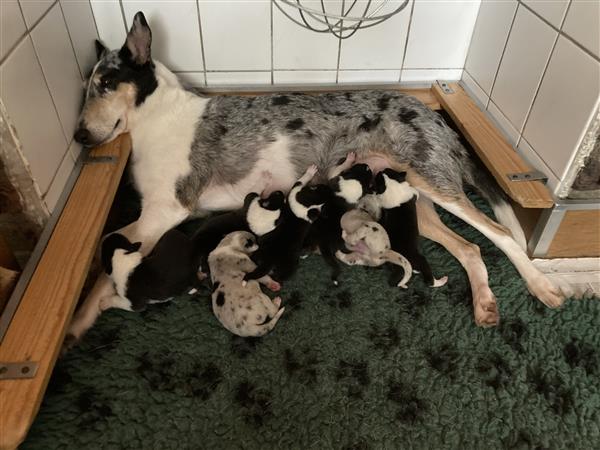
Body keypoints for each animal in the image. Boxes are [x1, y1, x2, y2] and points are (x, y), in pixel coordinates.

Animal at [67, 12, 568, 346]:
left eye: (106, 83)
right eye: (87, 86)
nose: (78, 136)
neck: (155, 118)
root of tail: (432, 112)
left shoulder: (163, 211)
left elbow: (105, 259)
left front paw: (79, 321)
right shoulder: (154, 215)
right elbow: (106, 254)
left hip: (435, 184)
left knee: (500, 233)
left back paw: (541, 286)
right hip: (411, 201)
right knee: (469, 248)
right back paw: (485, 303)